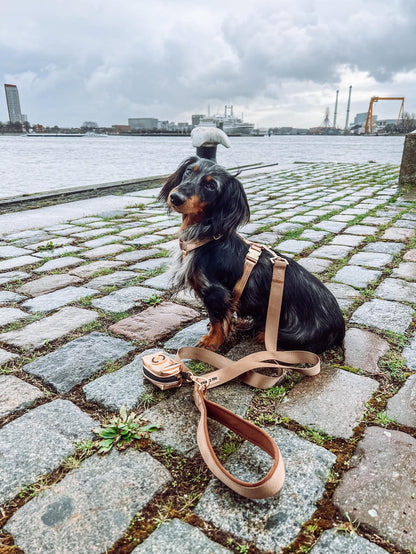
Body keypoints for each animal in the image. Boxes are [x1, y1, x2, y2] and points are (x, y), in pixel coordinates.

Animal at [159, 154, 344, 354]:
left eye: (211, 186)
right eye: (188, 171)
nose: (175, 197)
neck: (206, 237)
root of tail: (341, 328)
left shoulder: (215, 292)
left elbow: (217, 321)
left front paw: (211, 342)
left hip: (295, 335)